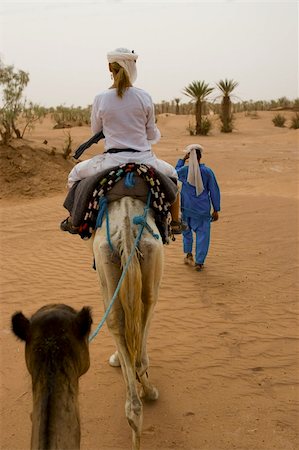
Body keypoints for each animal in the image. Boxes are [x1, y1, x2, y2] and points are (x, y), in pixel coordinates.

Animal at [92, 196, 165, 450]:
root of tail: (125, 224)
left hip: (108, 260)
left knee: (116, 319)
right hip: (151, 254)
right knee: (147, 304)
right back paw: (143, 398)